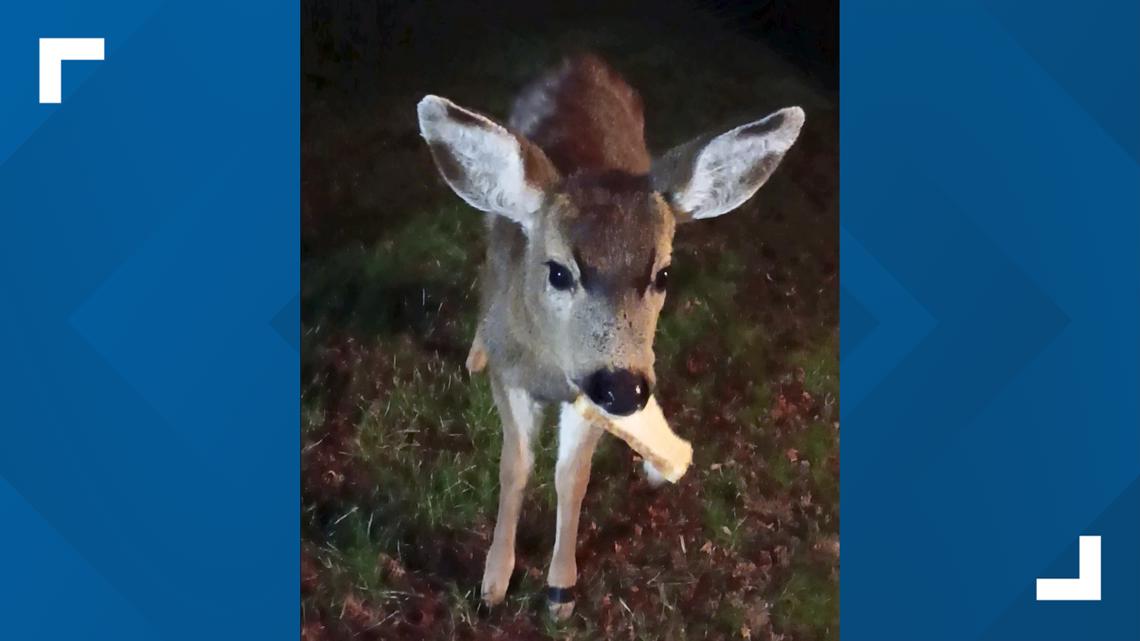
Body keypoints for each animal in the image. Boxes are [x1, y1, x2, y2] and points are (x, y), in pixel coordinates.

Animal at [416, 54, 803, 620]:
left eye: (663, 274)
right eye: (558, 272)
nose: (625, 388)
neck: (549, 367)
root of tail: (581, 58)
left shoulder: (588, 396)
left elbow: (571, 477)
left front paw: (560, 590)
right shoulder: (514, 376)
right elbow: (515, 467)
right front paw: (494, 581)